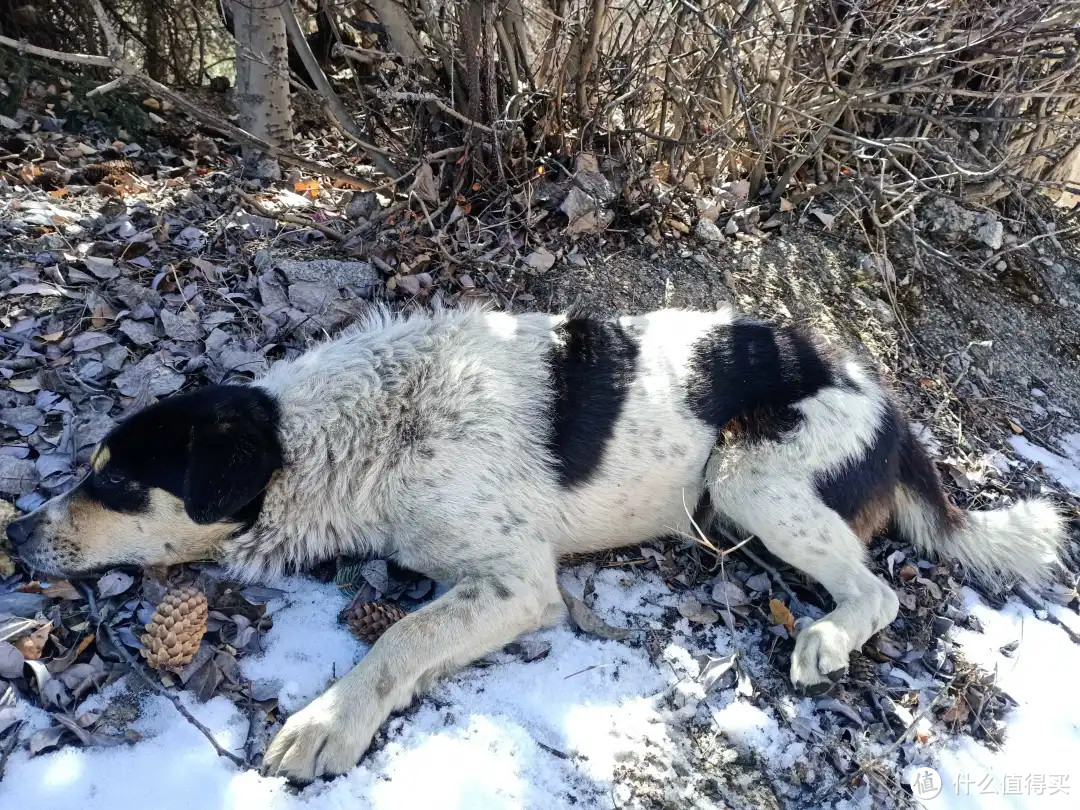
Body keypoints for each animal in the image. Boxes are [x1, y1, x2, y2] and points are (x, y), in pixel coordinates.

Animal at [4, 304, 1062, 781]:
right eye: (92, 466)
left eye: (116, 481)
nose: (14, 532)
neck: (349, 435)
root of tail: (889, 403)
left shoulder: (516, 584)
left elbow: (403, 636)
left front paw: (327, 719)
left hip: (747, 475)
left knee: (879, 593)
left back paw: (827, 638)